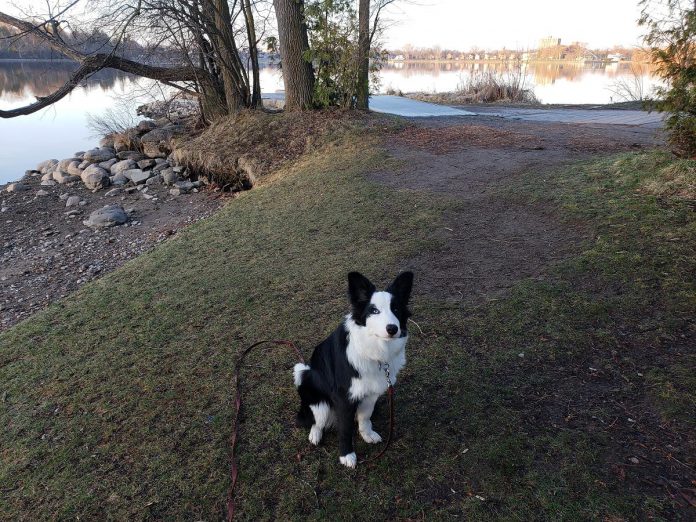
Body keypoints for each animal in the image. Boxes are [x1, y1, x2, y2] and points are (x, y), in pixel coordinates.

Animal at [290, 270, 410, 466]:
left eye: (396, 309)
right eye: (374, 310)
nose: (392, 328)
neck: (374, 351)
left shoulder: (370, 393)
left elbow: (365, 417)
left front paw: (367, 434)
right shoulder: (343, 398)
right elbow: (345, 429)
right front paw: (347, 455)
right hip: (308, 382)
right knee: (316, 419)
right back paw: (315, 434)